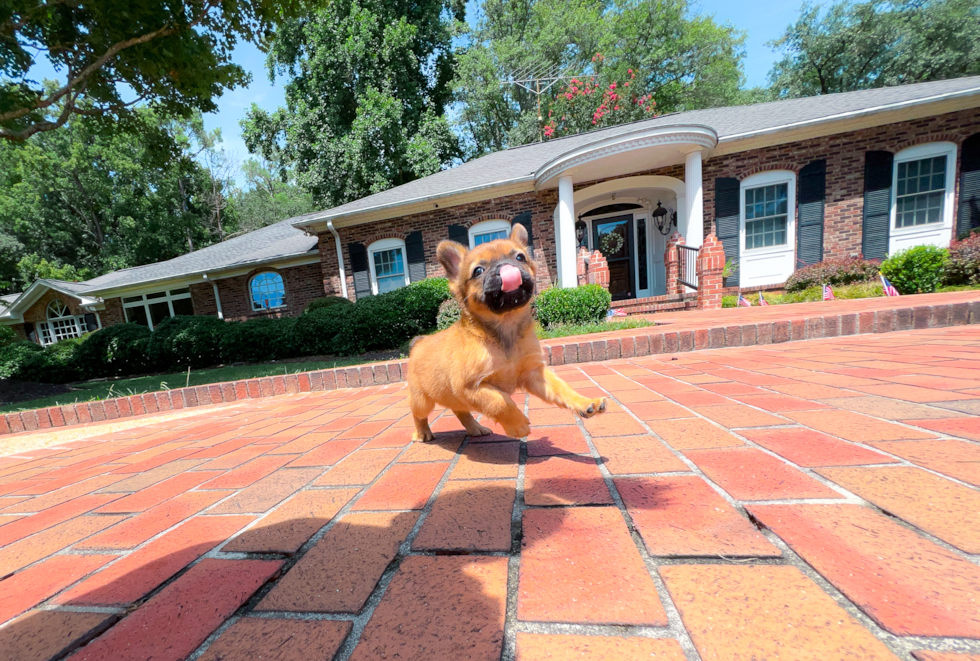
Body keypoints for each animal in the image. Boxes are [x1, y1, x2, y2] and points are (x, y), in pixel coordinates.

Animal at [406, 223, 604, 444]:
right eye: (478, 271)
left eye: (520, 257)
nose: (505, 266)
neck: (505, 327)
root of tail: (419, 343)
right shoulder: (470, 387)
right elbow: (499, 401)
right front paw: (517, 425)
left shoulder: (535, 373)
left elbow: (561, 388)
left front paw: (584, 402)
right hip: (423, 401)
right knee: (418, 414)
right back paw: (422, 433)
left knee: (461, 411)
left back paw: (475, 428)